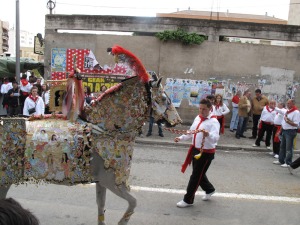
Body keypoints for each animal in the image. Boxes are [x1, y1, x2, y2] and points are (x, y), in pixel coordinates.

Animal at [0, 44, 182, 224]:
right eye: (164, 98)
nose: (176, 121)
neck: (106, 129)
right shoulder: (112, 182)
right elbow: (133, 202)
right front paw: (122, 222)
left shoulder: (101, 181)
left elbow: (101, 206)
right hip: (5, 178)